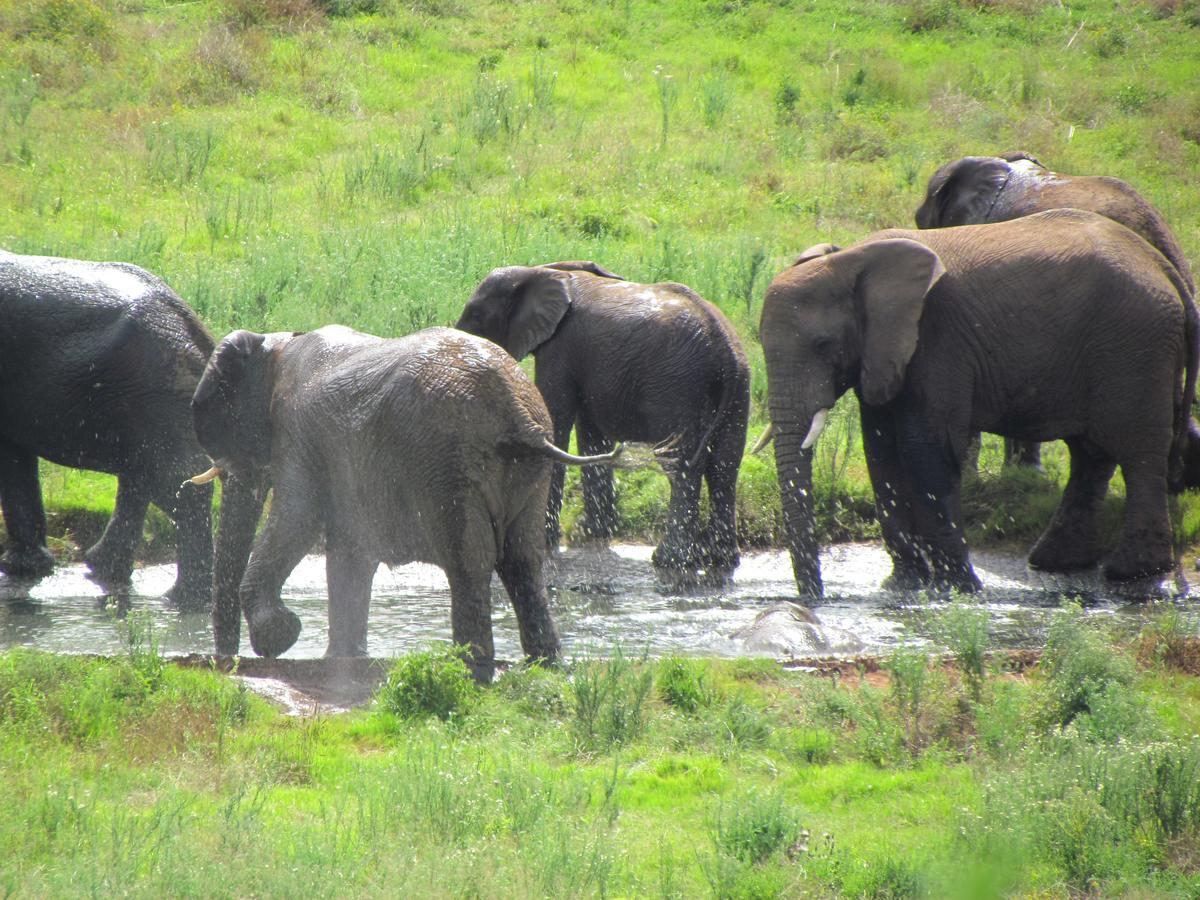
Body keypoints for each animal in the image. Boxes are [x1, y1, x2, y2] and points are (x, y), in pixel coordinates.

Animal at [0, 250, 213, 609]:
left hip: (151, 390)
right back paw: (102, 570)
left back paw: (185, 600)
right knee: (142, 476)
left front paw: (17, 569)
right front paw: (26, 569)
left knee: (176, 482)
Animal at [188, 326, 628, 676]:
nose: (227, 662)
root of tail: (516, 411)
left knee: (469, 560)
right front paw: (342, 659)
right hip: (527, 470)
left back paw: (472, 667)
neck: (275, 343)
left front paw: (281, 636)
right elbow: (349, 552)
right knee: (523, 561)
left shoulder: (297, 435)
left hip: (446, 462)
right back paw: (546, 664)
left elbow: (296, 520)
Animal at [758, 212, 1200, 602]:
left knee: (1137, 451)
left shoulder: (937, 337)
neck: (851, 259)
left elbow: (927, 449)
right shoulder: (883, 350)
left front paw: (956, 590)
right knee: (1091, 453)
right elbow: (881, 455)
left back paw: (1131, 573)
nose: (815, 597)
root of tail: (1165, 268)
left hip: (1137, 345)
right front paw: (902, 587)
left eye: (823, 345)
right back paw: (1056, 563)